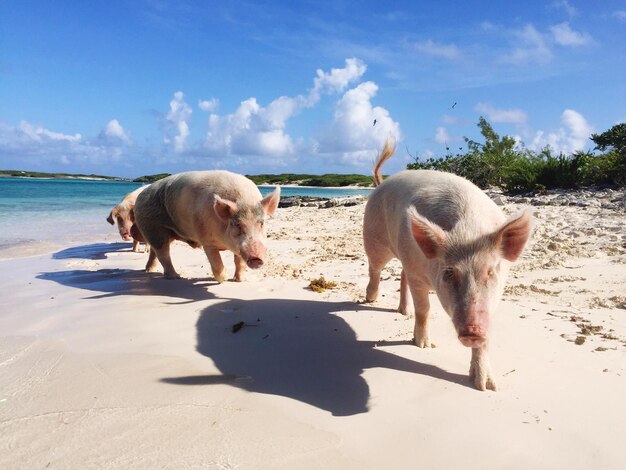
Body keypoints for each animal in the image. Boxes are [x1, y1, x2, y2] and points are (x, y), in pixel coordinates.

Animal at [133, 173, 280, 282]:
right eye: (238, 224)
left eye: (261, 223)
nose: (256, 258)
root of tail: (140, 195)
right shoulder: (207, 240)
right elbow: (216, 261)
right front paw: (224, 279)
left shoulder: (239, 248)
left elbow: (239, 261)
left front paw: (240, 280)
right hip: (152, 226)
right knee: (163, 253)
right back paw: (177, 277)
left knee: (154, 252)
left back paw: (150, 270)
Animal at [360, 139, 532, 390]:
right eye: (449, 273)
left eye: (491, 272)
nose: (472, 331)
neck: (468, 230)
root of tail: (381, 184)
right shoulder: (418, 274)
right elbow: (424, 309)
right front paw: (424, 346)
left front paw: (486, 386)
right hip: (374, 237)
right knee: (375, 268)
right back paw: (370, 299)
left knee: (401, 274)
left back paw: (404, 312)